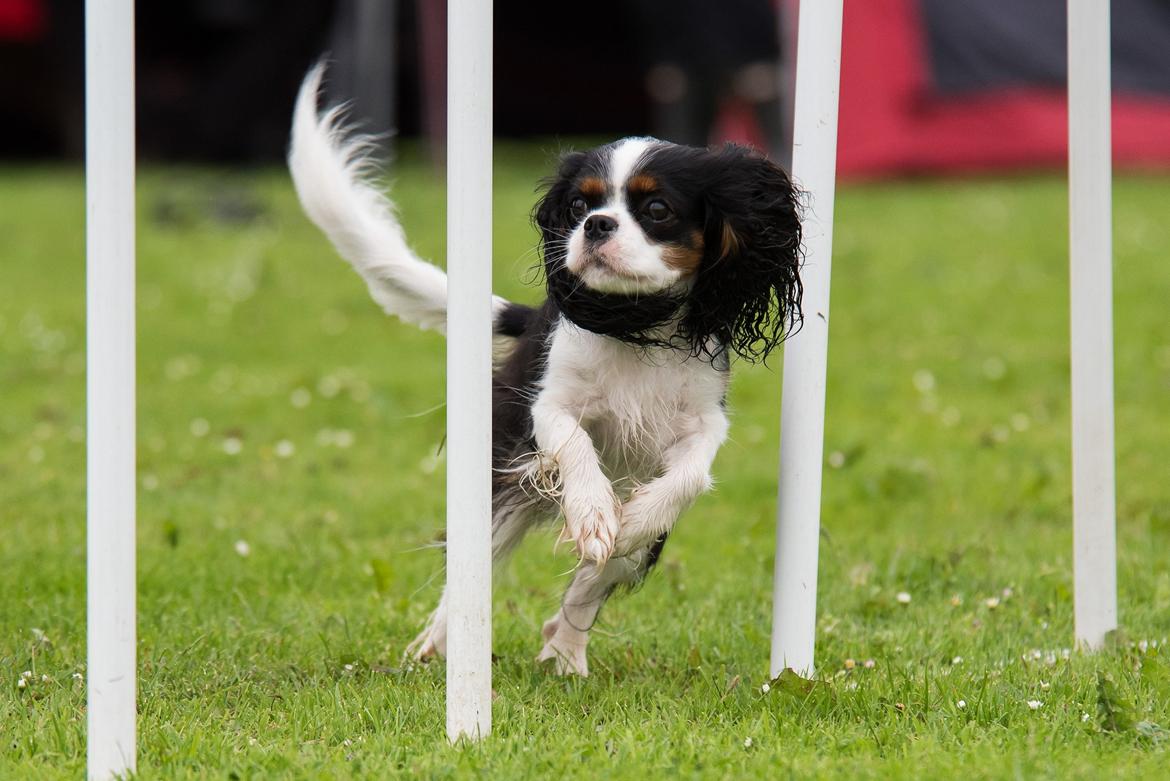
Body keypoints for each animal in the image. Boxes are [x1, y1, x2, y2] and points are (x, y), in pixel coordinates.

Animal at [287, 64, 800, 673]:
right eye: (579, 207)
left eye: (657, 210)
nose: (597, 225)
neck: (635, 323)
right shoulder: (548, 407)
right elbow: (575, 445)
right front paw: (595, 513)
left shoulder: (703, 419)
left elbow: (688, 478)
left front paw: (631, 519)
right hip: (504, 479)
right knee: (473, 567)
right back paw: (441, 644)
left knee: (594, 579)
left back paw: (565, 650)